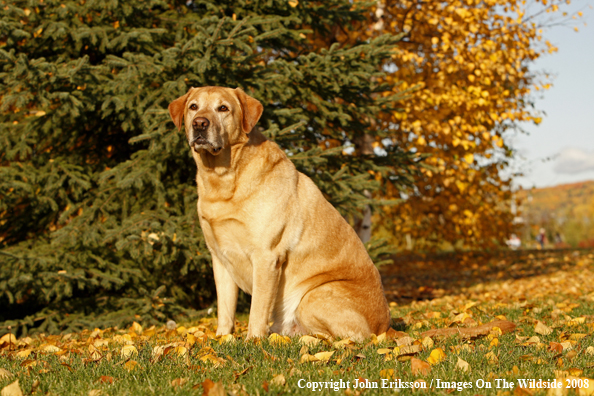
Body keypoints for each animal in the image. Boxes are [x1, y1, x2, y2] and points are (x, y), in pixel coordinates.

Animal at [168, 86, 388, 340]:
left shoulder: (266, 256)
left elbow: (257, 309)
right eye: (193, 107)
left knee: (345, 338)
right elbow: (225, 309)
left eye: (223, 108)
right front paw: (223, 339)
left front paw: (252, 341)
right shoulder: (219, 258)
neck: (222, 180)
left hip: (313, 296)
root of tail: (385, 328)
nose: (200, 124)